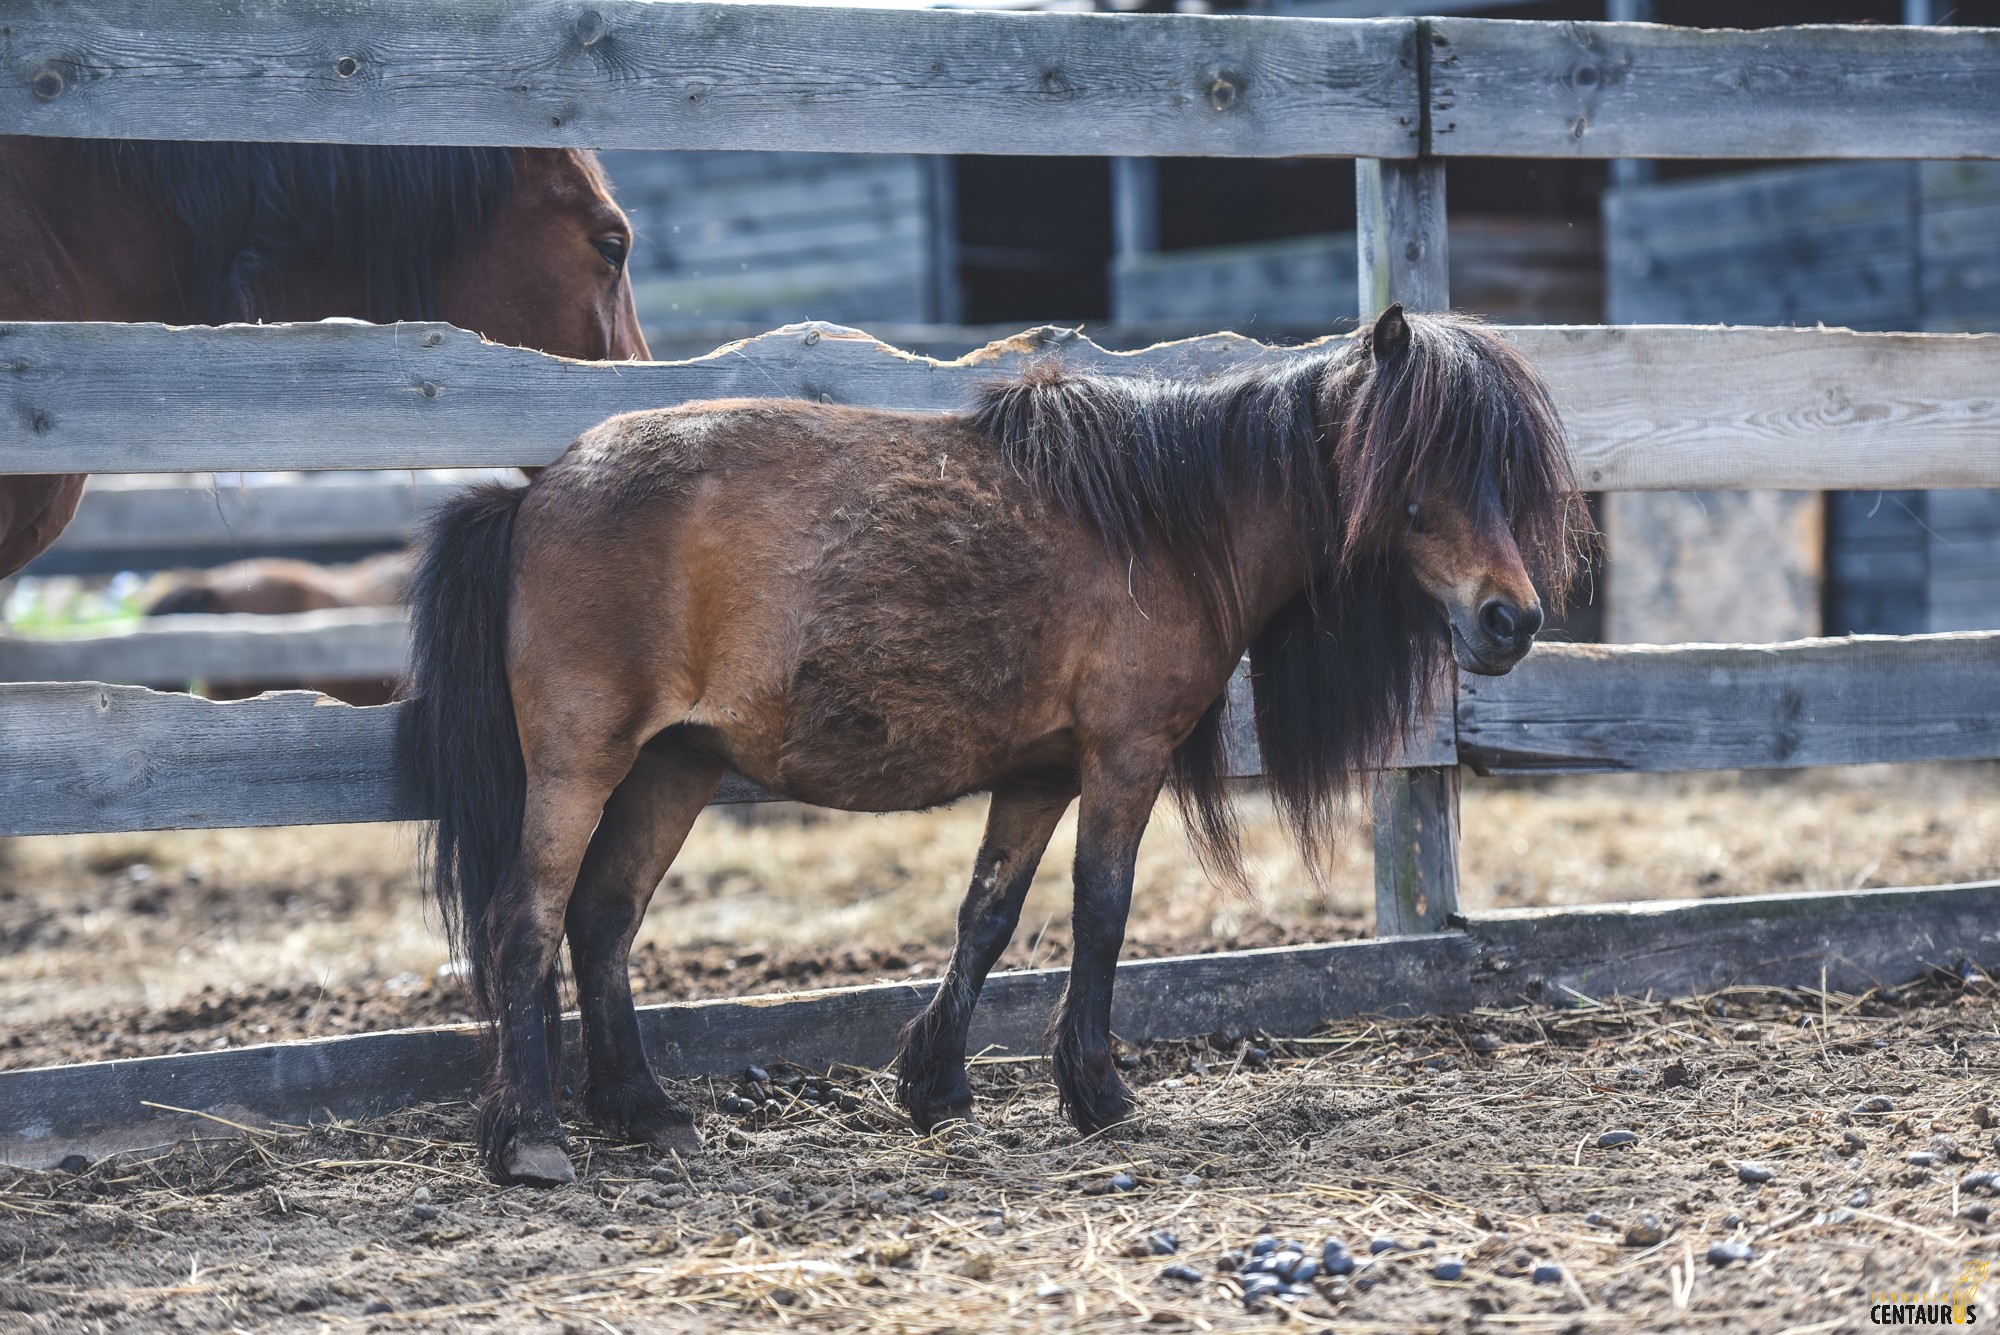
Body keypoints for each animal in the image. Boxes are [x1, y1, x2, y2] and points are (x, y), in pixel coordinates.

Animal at [398, 305, 1584, 1191]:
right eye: (1424, 462)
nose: (1509, 620)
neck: (1166, 523)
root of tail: (534, 492)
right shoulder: (1122, 756)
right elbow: (1100, 908)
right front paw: (1096, 1090)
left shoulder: (1039, 773)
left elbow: (989, 913)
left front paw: (935, 1086)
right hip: (580, 765)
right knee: (525, 922)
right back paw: (533, 1136)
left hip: (673, 765)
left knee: (601, 918)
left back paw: (644, 1111)